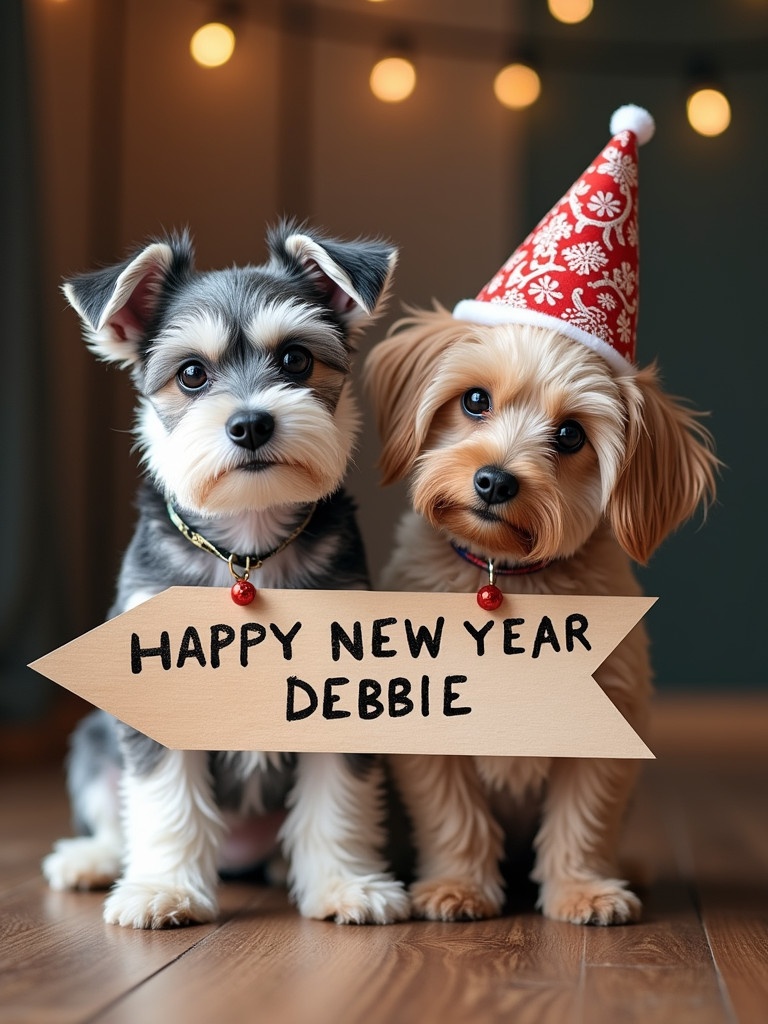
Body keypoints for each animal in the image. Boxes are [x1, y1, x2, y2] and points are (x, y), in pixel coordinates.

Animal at [41, 222, 409, 929]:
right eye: (191, 374)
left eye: (296, 360)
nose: (250, 423)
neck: (246, 545)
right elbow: (162, 801)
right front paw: (163, 889)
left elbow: (338, 799)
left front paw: (345, 883)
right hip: (94, 740)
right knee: (116, 809)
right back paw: (94, 860)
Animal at [364, 307, 720, 925]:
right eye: (475, 400)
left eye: (571, 434)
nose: (494, 480)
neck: (511, 577)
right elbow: (454, 818)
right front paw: (458, 885)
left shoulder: (607, 725)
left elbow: (584, 821)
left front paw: (583, 889)